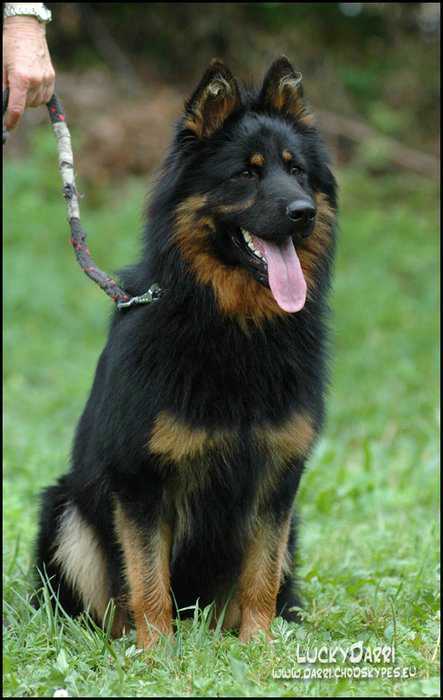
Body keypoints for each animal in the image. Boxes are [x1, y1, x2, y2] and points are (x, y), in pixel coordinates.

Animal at [35, 56, 337, 648]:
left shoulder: (277, 481)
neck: (233, 325)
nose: (304, 212)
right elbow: (149, 580)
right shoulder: (141, 482)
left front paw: (259, 648)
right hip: (67, 513)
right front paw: (158, 653)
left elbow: (260, 577)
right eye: (247, 173)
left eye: (297, 172)